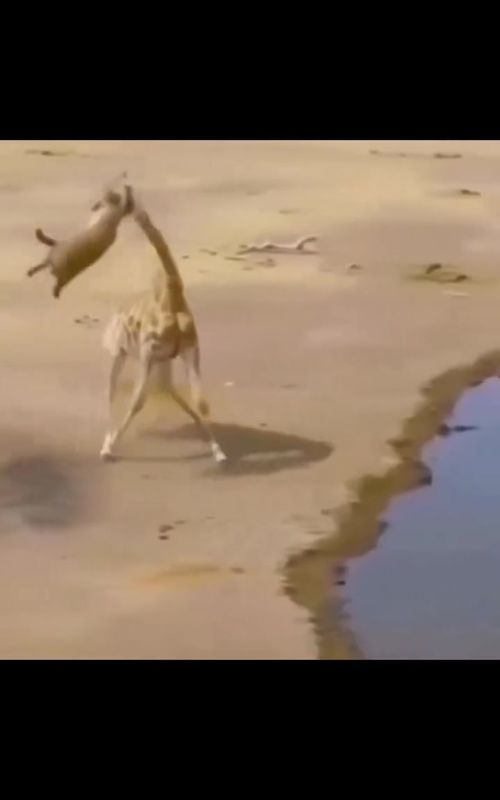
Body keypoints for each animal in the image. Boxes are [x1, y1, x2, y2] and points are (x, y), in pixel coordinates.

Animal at [99, 191, 227, 465]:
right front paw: (110, 446)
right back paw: (107, 442)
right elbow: (137, 400)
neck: (173, 298)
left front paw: (218, 450)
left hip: (158, 359)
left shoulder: (188, 350)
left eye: (117, 199)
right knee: (111, 392)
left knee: (164, 387)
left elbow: (200, 400)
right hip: (121, 353)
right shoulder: (147, 353)